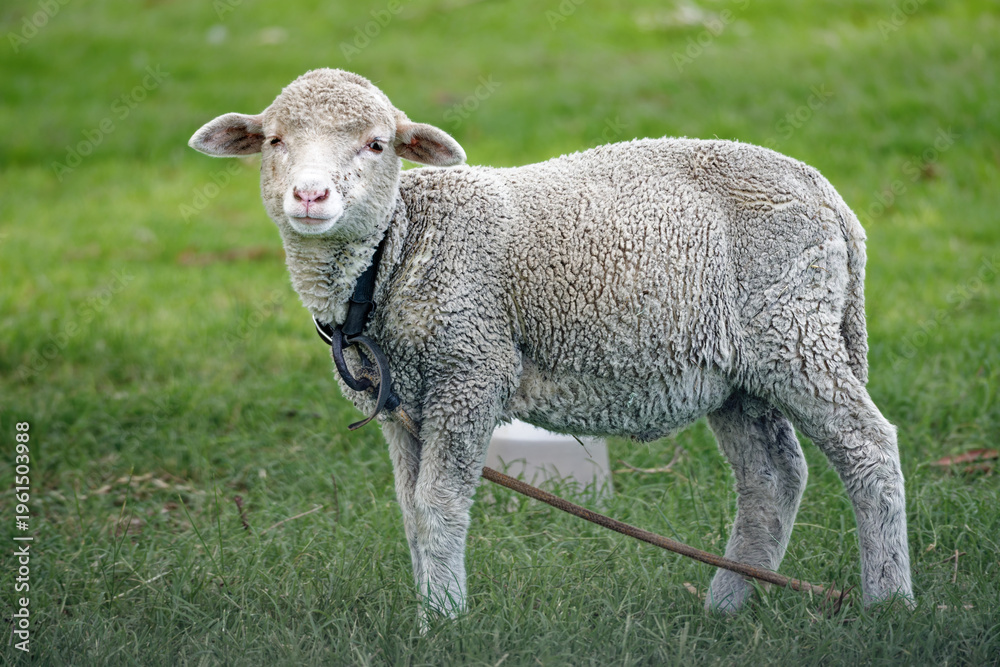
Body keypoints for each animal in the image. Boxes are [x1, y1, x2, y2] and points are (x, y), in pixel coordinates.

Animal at [188, 68, 913, 618]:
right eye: (274, 139)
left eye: (375, 144)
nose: (311, 196)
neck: (398, 249)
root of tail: (829, 197)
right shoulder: (402, 405)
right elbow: (410, 512)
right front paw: (428, 609)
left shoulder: (470, 369)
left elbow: (439, 506)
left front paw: (445, 619)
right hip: (740, 371)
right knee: (772, 479)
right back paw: (724, 606)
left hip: (794, 328)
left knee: (869, 448)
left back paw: (889, 601)